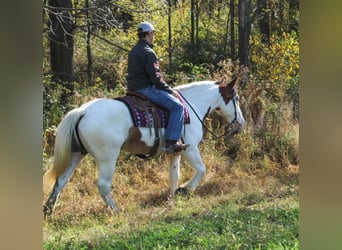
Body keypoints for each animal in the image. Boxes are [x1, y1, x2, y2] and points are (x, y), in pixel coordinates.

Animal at [43, 77, 246, 216]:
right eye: (235, 98)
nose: (241, 124)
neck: (189, 107)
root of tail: (82, 112)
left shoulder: (175, 152)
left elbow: (174, 175)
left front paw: (172, 197)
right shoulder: (190, 148)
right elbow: (202, 169)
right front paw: (185, 190)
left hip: (77, 154)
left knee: (61, 181)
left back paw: (48, 210)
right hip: (108, 159)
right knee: (103, 185)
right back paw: (115, 210)